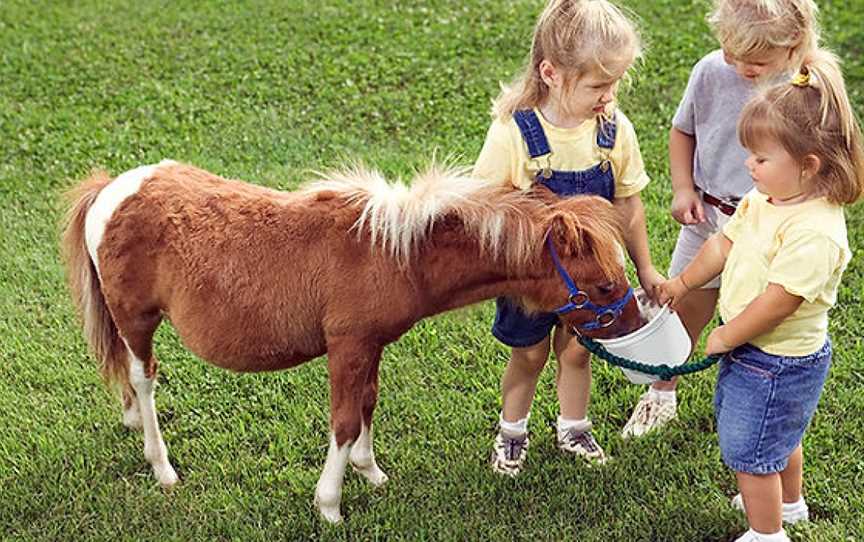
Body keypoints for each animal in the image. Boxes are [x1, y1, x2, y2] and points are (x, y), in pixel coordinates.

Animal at [60, 160, 640, 524]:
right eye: (604, 286)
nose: (636, 328)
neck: (392, 253)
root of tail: (112, 189)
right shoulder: (347, 346)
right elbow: (342, 421)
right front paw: (330, 504)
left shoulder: (371, 346)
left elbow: (367, 404)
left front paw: (371, 472)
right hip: (137, 320)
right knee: (144, 379)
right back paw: (162, 467)